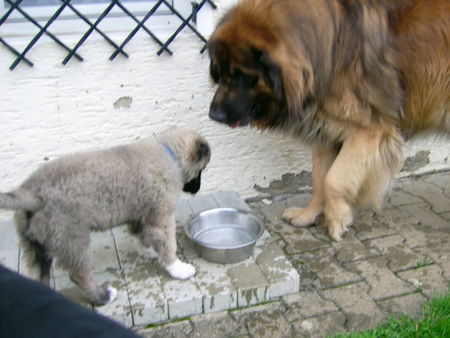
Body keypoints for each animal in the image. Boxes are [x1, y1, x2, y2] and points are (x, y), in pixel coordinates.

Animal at [0, 127, 211, 306]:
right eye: (201, 171)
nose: (197, 190)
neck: (169, 153)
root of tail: (30, 192)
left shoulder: (140, 213)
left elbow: (141, 233)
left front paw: (149, 250)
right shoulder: (162, 216)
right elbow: (168, 244)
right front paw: (177, 267)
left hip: (35, 246)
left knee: (38, 276)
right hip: (73, 239)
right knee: (79, 275)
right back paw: (102, 296)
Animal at [208, 0, 450, 240]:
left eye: (241, 76)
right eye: (218, 74)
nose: (213, 115)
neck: (327, 51)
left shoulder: (369, 132)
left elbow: (333, 180)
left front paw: (337, 219)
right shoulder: (326, 131)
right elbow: (319, 179)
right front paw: (309, 214)